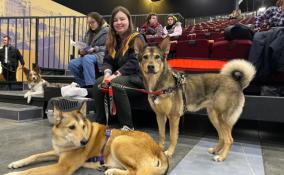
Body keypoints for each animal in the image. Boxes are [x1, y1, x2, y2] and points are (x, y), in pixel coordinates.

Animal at [5, 102, 169, 175]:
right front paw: (16, 163)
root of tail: (160, 150)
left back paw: (111, 171)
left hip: (118, 141)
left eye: (83, 126)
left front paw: (13, 174)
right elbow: (35, 155)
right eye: (72, 127)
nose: (84, 142)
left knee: (137, 172)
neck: (64, 141)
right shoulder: (57, 153)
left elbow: (31, 171)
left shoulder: (61, 166)